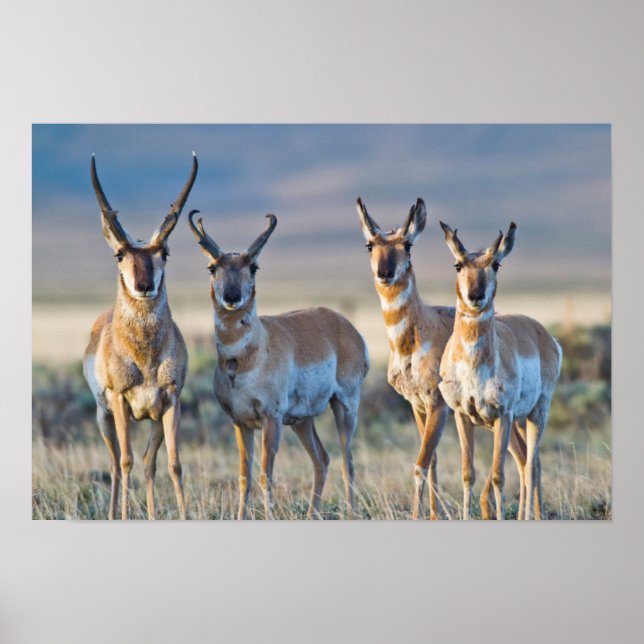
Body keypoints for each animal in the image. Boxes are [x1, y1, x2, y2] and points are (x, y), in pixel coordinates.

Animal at [82, 153, 198, 520]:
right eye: (120, 254)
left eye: (165, 253)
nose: (144, 285)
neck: (145, 358)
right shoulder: (120, 401)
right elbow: (125, 461)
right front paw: (122, 516)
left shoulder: (170, 402)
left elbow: (173, 464)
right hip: (104, 416)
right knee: (116, 463)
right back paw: (112, 514)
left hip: (151, 420)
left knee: (149, 464)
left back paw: (149, 514)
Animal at [188, 210, 369, 519]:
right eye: (212, 267)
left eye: (254, 267)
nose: (232, 297)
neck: (246, 359)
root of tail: (345, 325)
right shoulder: (240, 422)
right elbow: (244, 476)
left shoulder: (271, 419)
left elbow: (265, 475)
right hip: (302, 420)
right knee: (322, 459)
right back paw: (311, 514)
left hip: (345, 406)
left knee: (348, 462)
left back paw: (351, 513)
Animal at [357, 198, 543, 520]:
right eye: (370, 244)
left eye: (407, 244)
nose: (385, 273)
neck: (417, 336)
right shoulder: (417, 406)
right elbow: (431, 461)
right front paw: (432, 515)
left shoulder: (439, 407)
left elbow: (421, 464)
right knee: (525, 458)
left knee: (528, 460)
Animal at [438, 221, 562, 520]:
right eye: (458, 265)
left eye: (495, 264)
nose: (475, 296)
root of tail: (544, 334)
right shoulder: (463, 416)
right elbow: (467, 473)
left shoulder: (502, 415)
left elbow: (497, 475)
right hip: (515, 423)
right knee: (526, 461)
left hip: (535, 414)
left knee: (530, 466)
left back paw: (530, 517)